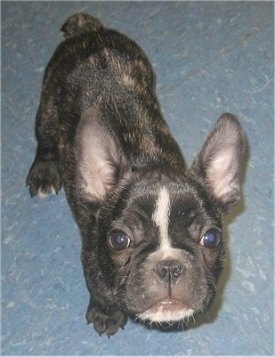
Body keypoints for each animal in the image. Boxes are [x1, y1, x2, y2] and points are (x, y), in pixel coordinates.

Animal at [25, 13, 246, 336]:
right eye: (119, 240)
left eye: (211, 238)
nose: (169, 267)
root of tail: (89, 32)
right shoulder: (92, 259)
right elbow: (100, 290)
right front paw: (105, 314)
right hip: (49, 102)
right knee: (45, 136)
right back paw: (43, 171)